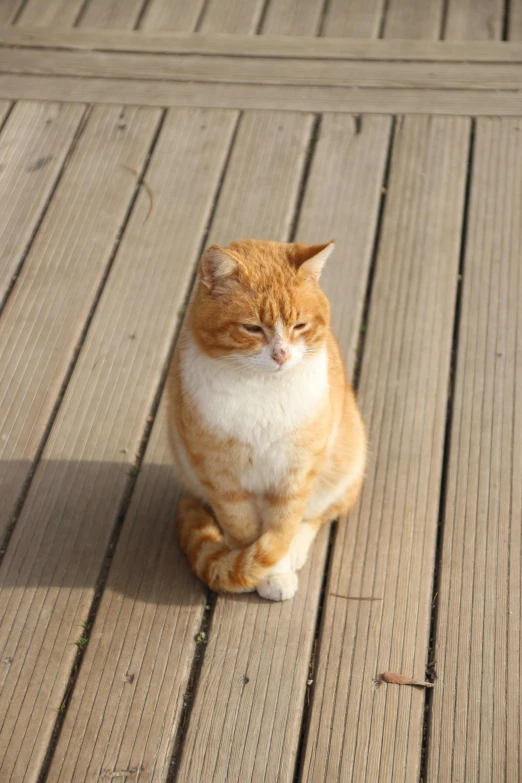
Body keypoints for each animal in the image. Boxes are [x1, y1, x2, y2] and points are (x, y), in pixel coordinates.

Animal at [167, 237, 366, 600]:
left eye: (300, 326)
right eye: (252, 328)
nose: (281, 354)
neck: (261, 388)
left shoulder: (296, 471)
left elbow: (284, 524)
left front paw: (278, 566)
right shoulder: (220, 476)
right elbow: (243, 528)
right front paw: (257, 572)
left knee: (318, 515)